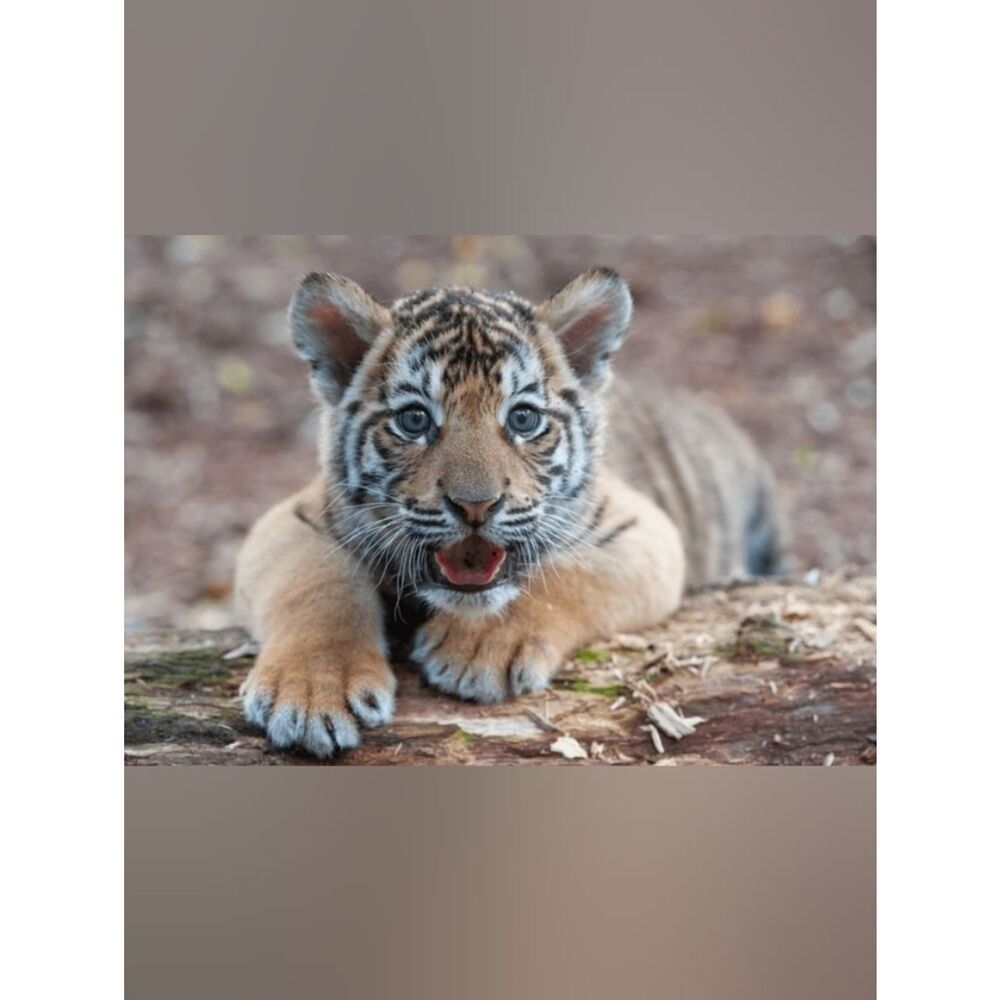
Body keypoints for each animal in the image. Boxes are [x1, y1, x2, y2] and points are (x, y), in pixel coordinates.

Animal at [234, 268, 788, 758]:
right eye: (414, 420)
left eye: (522, 418)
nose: (476, 505)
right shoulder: (293, 520)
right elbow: (315, 587)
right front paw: (311, 693)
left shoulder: (640, 528)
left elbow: (566, 575)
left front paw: (479, 649)